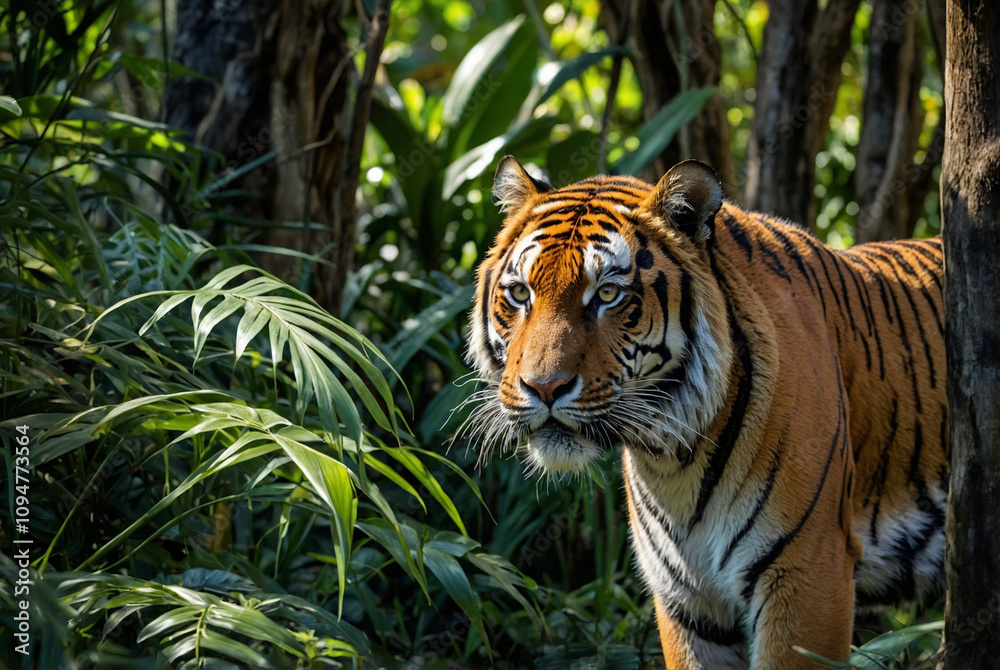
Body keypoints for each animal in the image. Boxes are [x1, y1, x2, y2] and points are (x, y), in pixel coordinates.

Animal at [464, 156, 948, 669]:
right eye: (520, 293)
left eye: (608, 294)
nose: (544, 387)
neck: (674, 459)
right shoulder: (686, 600)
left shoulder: (808, 576)